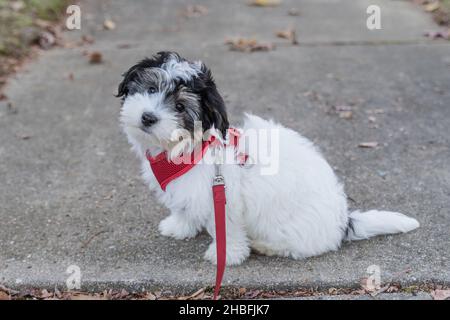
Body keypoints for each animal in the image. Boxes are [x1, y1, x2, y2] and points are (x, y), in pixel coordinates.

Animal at [118, 52, 420, 264]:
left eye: (180, 106)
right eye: (151, 88)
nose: (148, 117)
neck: (188, 148)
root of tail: (343, 222)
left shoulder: (224, 199)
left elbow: (227, 229)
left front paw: (226, 256)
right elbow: (183, 207)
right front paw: (179, 226)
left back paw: (264, 246)